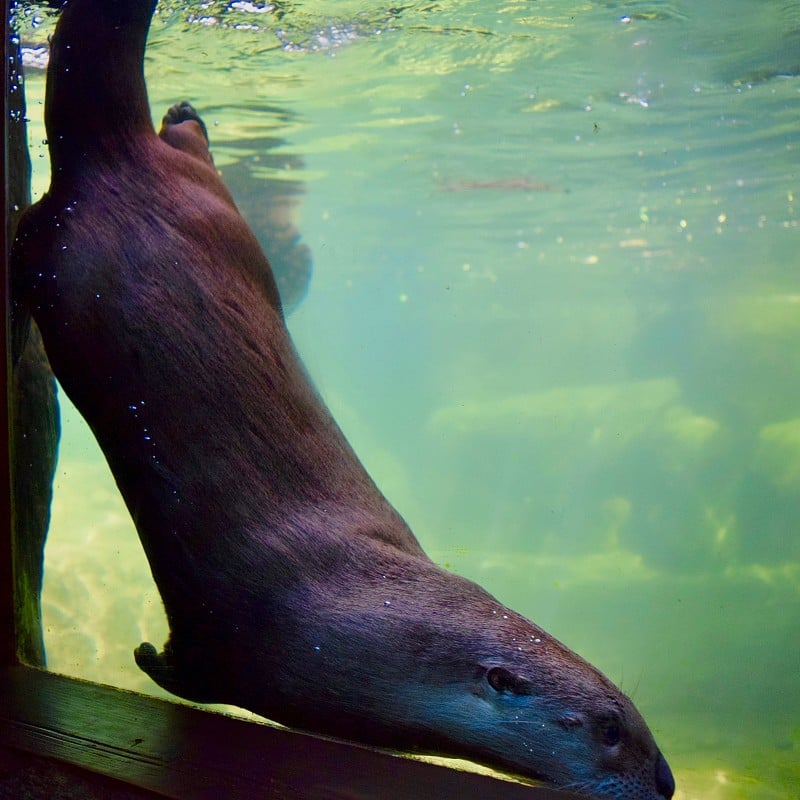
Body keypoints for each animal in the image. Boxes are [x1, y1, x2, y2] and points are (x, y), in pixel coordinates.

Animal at [14, 1, 676, 800]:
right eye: (611, 731)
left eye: (639, 721)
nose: (667, 780)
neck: (354, 610)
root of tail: (115, 150)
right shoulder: (234, 636)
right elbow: (189, 669)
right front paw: (144, 656)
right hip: (64, 251)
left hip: (207, 207)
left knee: (188, 153)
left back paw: (186, 114)